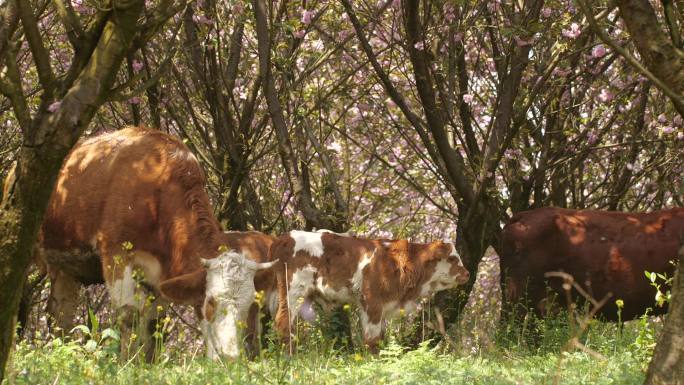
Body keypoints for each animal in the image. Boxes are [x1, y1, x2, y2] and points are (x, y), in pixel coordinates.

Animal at [268, 230, 470, 352]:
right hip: (293, 292)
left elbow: (379, 337)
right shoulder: (372, 301)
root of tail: (284, 238)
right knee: (283, 322)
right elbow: (371, 340)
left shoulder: (383, 306)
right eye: (452, 258)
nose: (467, 273)